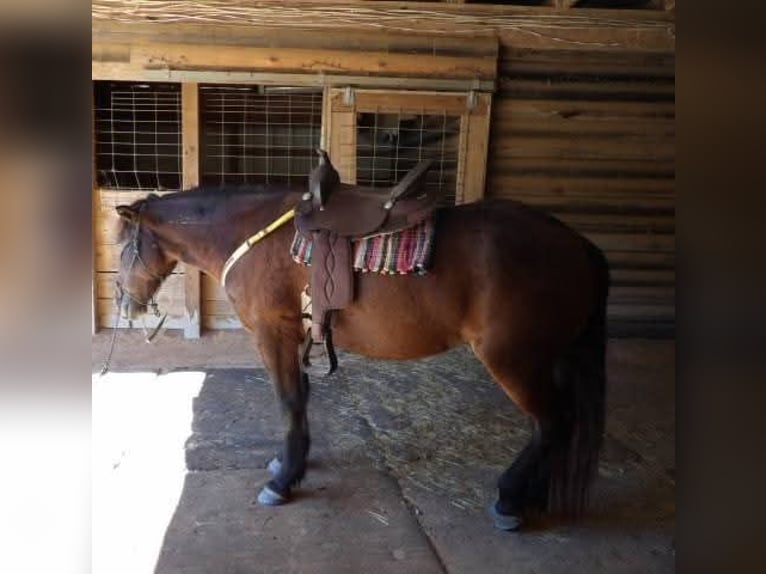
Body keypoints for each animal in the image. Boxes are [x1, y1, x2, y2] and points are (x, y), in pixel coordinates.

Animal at [113, 184, 609, 531]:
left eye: (121, 246)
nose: (125, 304)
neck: (249, 234)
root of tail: (575, 242)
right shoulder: (297, 335)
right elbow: (301, 401)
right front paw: (291, 464)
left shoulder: (275, 333)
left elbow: (288, 402)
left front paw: (281, 481)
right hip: (546, 359)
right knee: (556, 425)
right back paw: (534, 495)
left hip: (514, 361)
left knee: (552, 422)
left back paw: (509, 499)